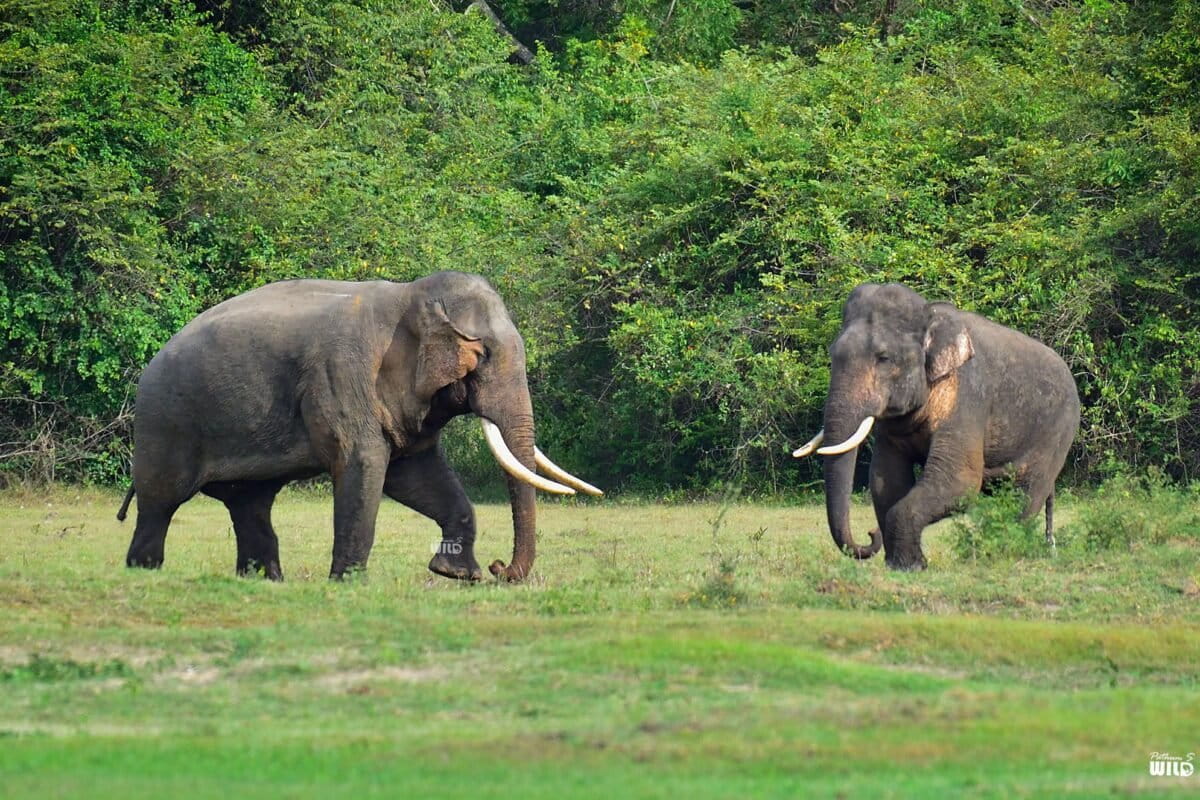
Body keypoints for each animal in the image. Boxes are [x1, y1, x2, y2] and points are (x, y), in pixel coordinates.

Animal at [116, 271, 600, 582]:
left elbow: (416, 473)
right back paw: (144, 572)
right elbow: (365, 465)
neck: (410, 297)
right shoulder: (343, 377)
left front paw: (455, 574)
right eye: (482, 356)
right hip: (166, 423)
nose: (502, 570)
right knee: (160, 503)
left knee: (250, 504)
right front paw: (347, 583)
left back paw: (262, 581)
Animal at [792, 283, 1080, 570]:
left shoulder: (968, 398)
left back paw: (1002, 553)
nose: (871, 534)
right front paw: (903, 566)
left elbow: (960, 481)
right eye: (832, 353)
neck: (929, 313)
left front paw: (910, 567)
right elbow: (886, 480)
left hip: (1057, 434)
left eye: (883, 357)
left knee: (1026, 494)